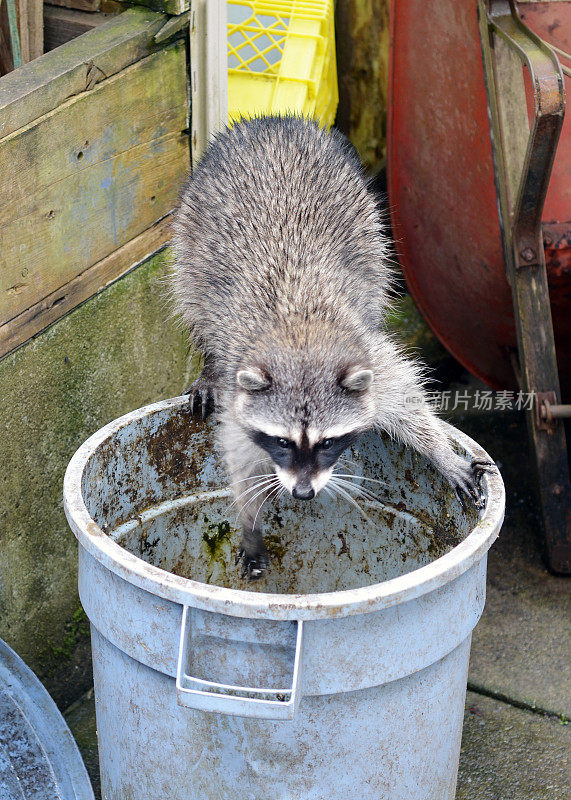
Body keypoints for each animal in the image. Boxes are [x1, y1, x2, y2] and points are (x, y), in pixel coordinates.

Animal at [172, 115, 494, 580]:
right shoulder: (241, 393)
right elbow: (239, 455)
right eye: (283, 442)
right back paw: (207, 365)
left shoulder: (369, 355)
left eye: (327, 443)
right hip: (189, 235)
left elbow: (407, 399)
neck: (301, 339)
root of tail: (274, 122)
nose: (303, 494)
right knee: (193, 303)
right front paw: (250, 521)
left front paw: (439, 450)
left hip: (370, 227)